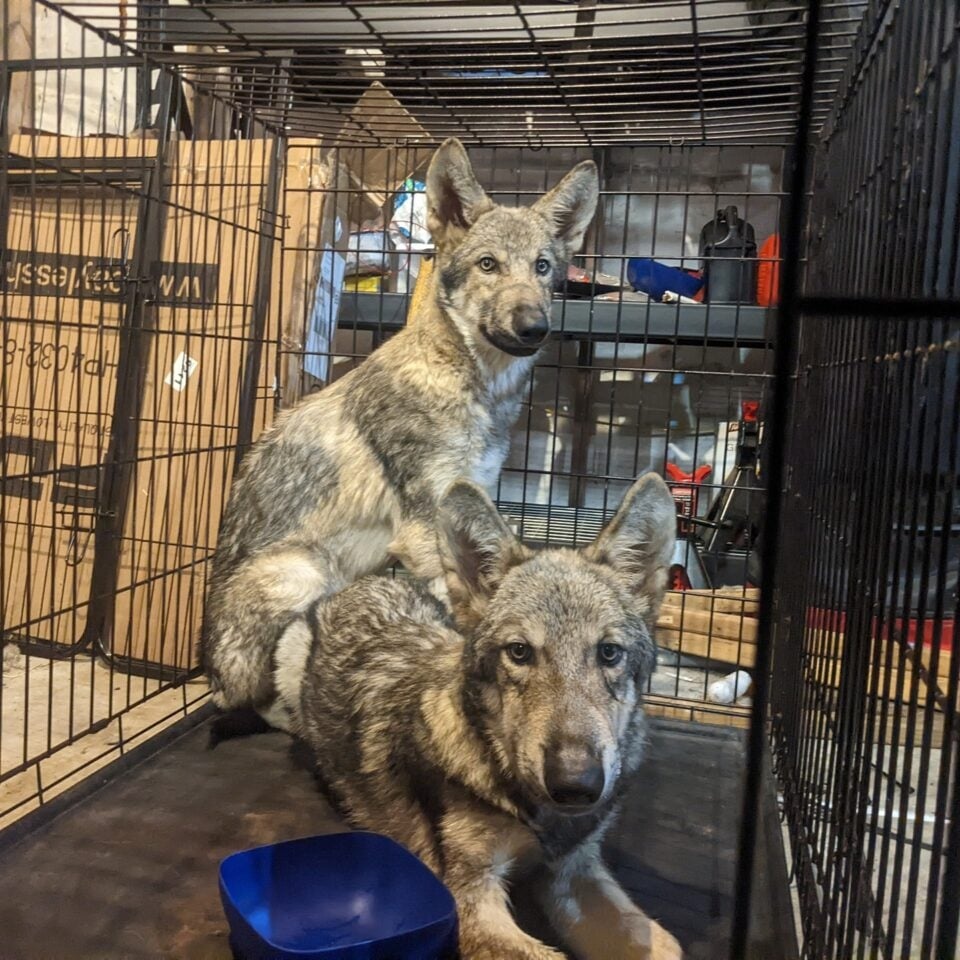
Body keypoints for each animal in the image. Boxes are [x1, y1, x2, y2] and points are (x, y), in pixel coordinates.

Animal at [200, 133, 596, 720]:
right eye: (488, 264)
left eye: (543, 267)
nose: (534, 328)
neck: (478, 390)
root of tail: (210, 673)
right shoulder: (422, 527)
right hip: (303, 574)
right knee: (258, 697)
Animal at [272, 474, 684, 960]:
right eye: (519, 652)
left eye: (608, 653)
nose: (575, 784)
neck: (536, 815)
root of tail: (363, 584)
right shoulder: (472, 899)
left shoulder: (572, 872)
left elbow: (665, 944)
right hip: (289, 653)